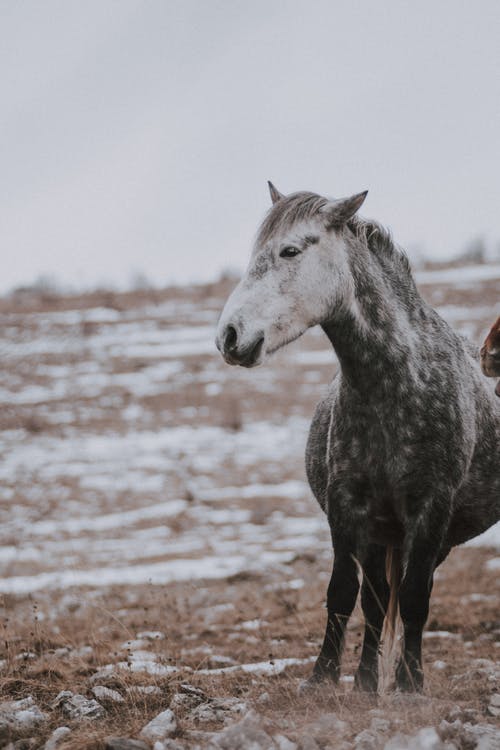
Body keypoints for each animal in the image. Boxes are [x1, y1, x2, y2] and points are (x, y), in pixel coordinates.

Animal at [216, 187, 500, 692]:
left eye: (291, 251)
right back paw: (367, 681)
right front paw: (323, 678)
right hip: (381, 535)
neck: (395, 385)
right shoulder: (347, 506)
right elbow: (344, 592)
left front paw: (409, 685)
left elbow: (415, 599)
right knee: (376, 597)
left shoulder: (430, 509)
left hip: (430, 538)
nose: (229, 336)